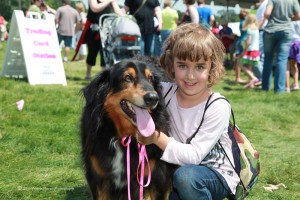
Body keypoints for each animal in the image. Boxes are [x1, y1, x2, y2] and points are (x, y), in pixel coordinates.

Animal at [80, 58, 173, 199]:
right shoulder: (98, 179)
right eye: (127, 77)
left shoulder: (156, 178)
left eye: (150, 78)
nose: (153, 98)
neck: (123, 137)